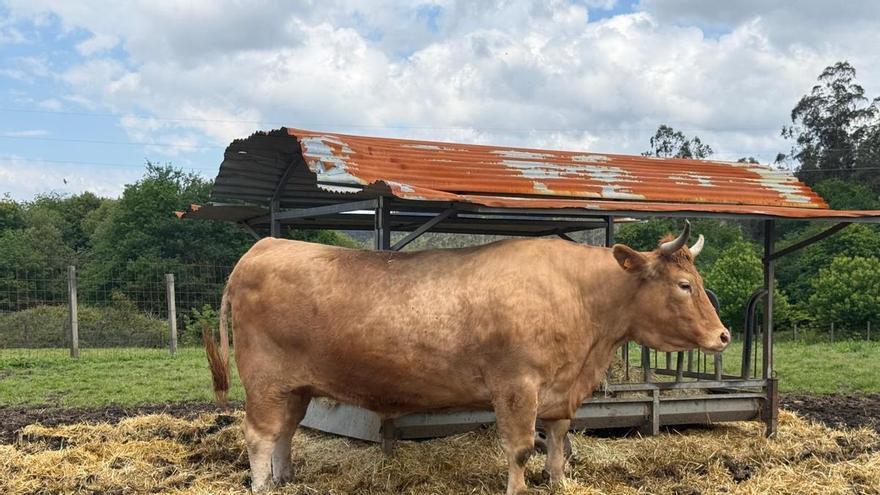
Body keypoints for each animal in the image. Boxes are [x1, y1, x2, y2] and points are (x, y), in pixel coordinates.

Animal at [203, 221, 729, 494]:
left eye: (698, 282)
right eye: (684, 285)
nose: (723, 336)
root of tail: (265, 245)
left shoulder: (560, 392)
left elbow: (558, 444)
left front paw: (558, 483)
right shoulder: (517, 386)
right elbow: (521, 448)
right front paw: (519, 488)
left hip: (295, 386)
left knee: (285, 433)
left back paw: (285, 480)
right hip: (265, 380)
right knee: (259, 435)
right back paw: (262, 486)